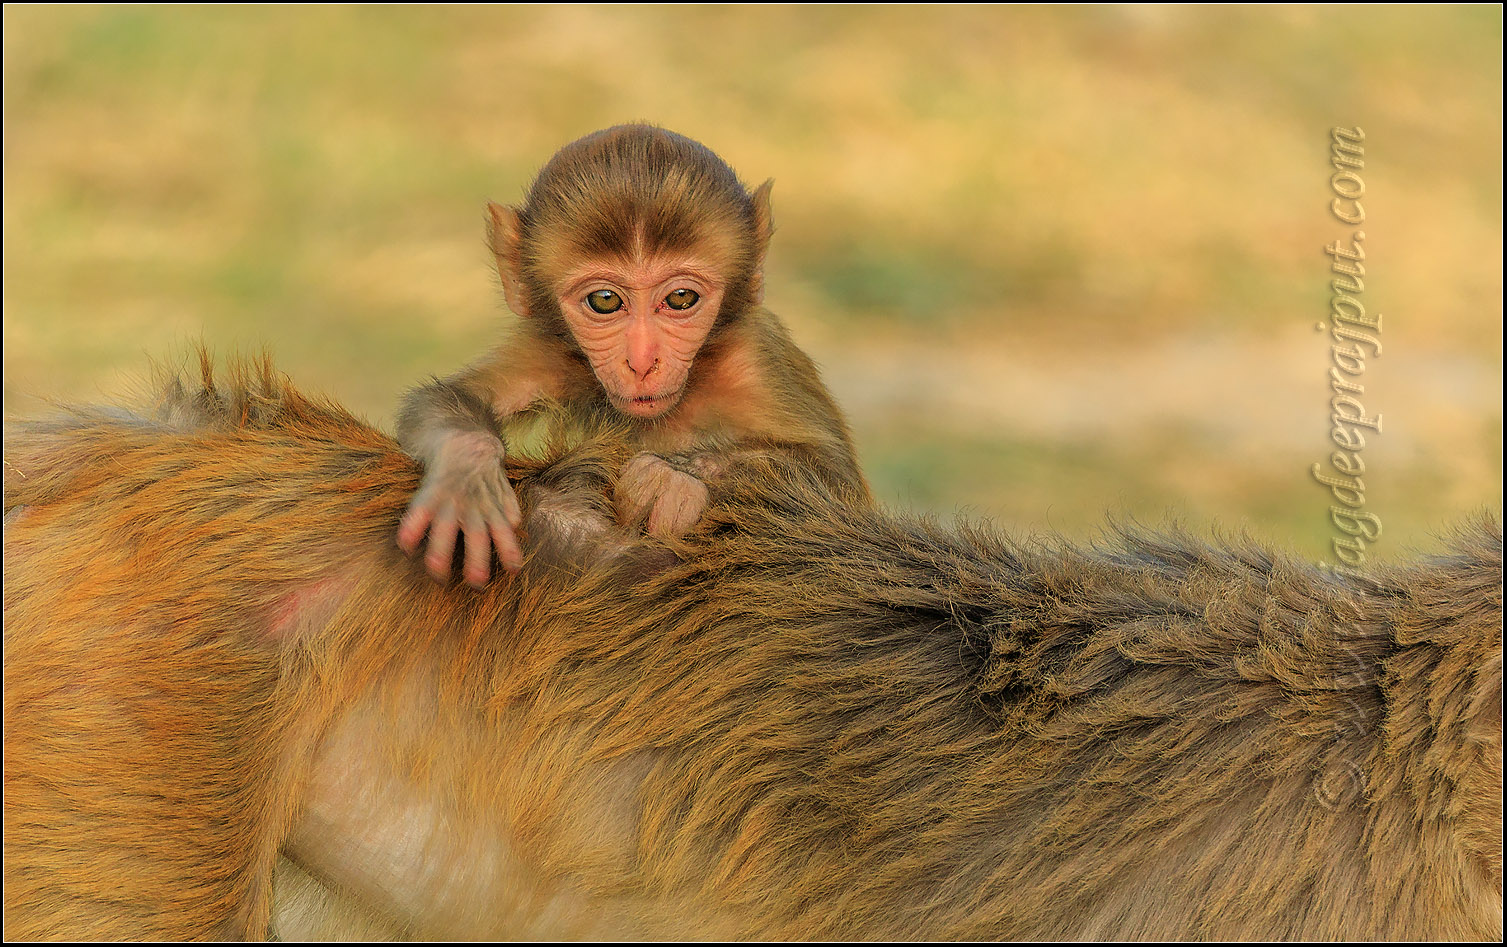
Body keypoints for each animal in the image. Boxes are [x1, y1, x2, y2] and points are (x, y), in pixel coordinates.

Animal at [395, 123, 870, 587]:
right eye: (605, 301)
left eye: (680, 298)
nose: (641, 363)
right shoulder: (547, 350)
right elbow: (457, 395)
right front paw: (466, 474)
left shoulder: (754, 360)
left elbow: (834, 484)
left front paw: (672, 477)